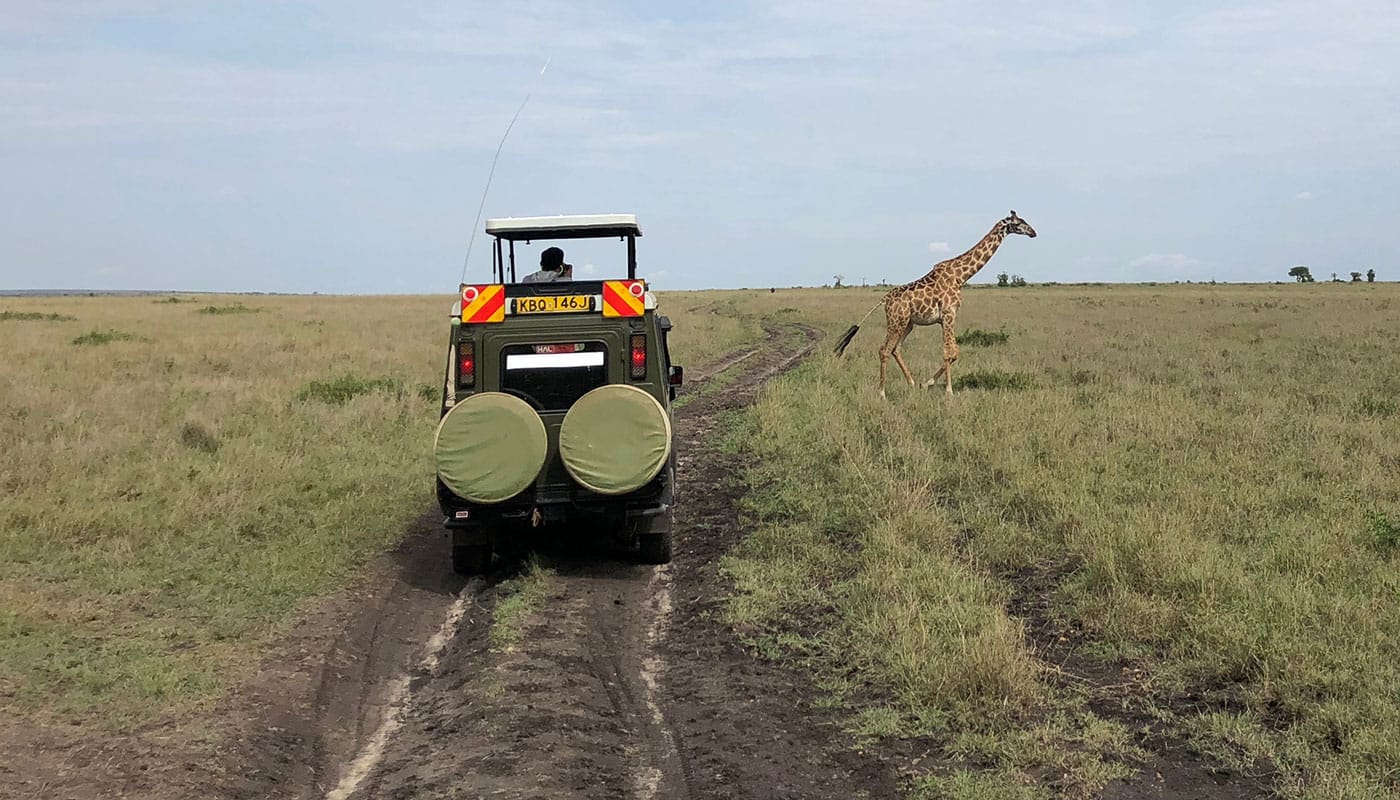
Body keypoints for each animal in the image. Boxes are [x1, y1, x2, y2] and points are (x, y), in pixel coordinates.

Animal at [833, 210, 1036, 397]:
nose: (1033, 232)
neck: (961, 276)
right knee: (884, 350)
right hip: (896, 321)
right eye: (1019, 222)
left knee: (896, 349)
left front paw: (926, 384)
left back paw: (912, 383)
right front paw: (948, 391)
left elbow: (954, 352)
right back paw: (882, 393)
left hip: (908, 323)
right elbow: (949, 352)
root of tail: (885, 299)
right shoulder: (948, 314)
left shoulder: (945, 318)